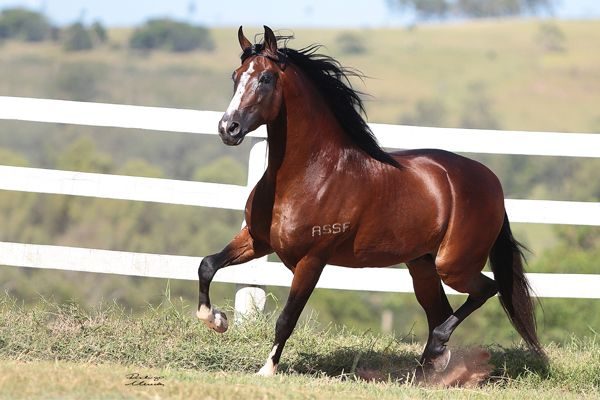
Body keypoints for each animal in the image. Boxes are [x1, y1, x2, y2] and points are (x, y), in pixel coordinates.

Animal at [197, 25, 544, 378]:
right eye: (235, 76)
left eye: (266, 78)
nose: (228, 128)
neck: (311, 174)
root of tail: (491, 182)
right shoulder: (257, 240)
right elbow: (207, 264)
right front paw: (217, 320)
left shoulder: (311, 260)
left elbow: (286, 318)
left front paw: (267, 370)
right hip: (422, 267)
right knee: (441, 310)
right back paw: (429, 367)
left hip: (453, 266)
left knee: (486, 290)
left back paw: (434, 352)